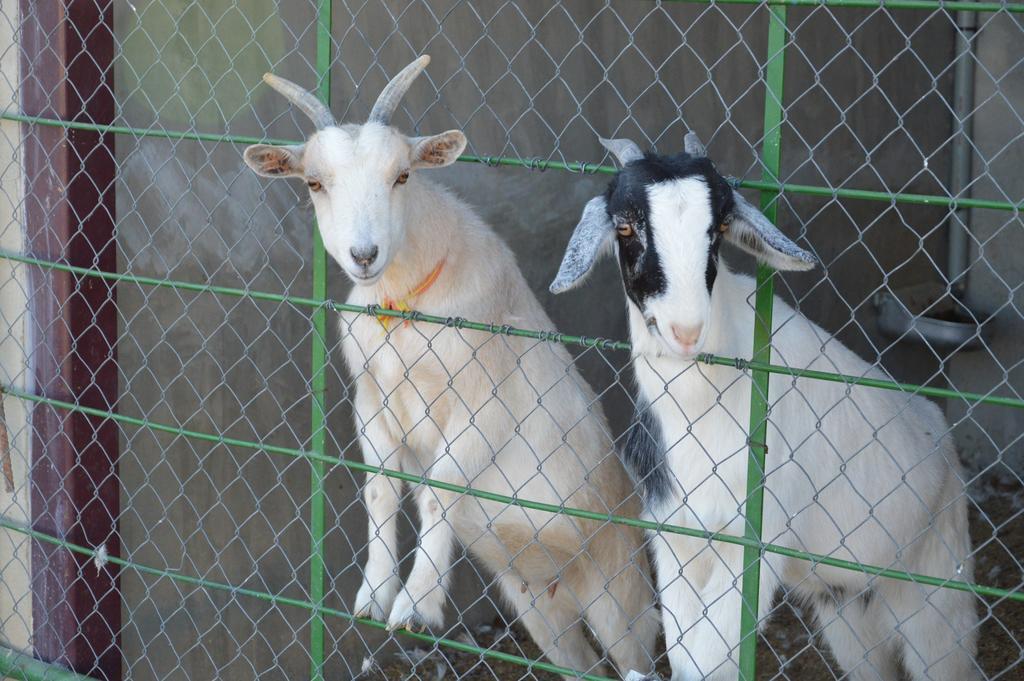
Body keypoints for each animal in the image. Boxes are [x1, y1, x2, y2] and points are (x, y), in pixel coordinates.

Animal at [242, 57, 655, 675]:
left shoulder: (480, 401)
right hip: (539, 606)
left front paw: (414, 606)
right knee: (580, 661)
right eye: (314, 182)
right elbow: (381, 490)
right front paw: (373, 596)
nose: (364, 256)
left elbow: (439, 487)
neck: (405, 310)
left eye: (402, 176)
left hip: (620, 590)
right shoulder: (373, 400)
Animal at [548, 134, 978, 679]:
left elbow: (707, 660)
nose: (686, 331)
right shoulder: (675, 533)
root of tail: (938, 432)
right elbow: (686, 653)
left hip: (936, 592)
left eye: (718, 229)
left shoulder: (754, 544)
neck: (704, 408)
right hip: (846, 605)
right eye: (625, 226)